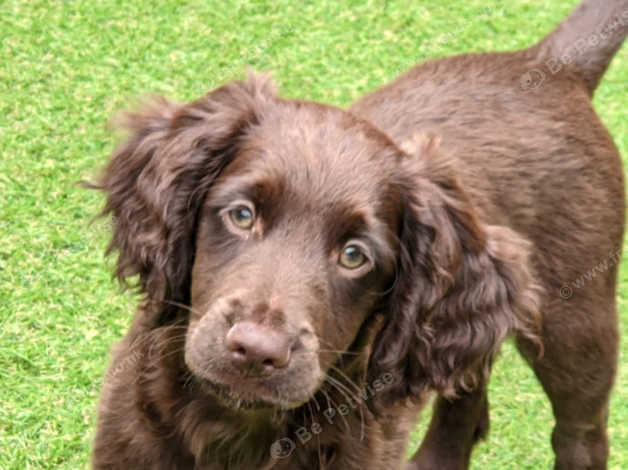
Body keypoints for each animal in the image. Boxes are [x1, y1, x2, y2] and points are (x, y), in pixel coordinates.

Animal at [91, 1, 624, 468]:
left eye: (354, 256)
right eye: (241, 215)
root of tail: (548, 63)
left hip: (577, 321)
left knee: (581, 431)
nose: (258, 350)